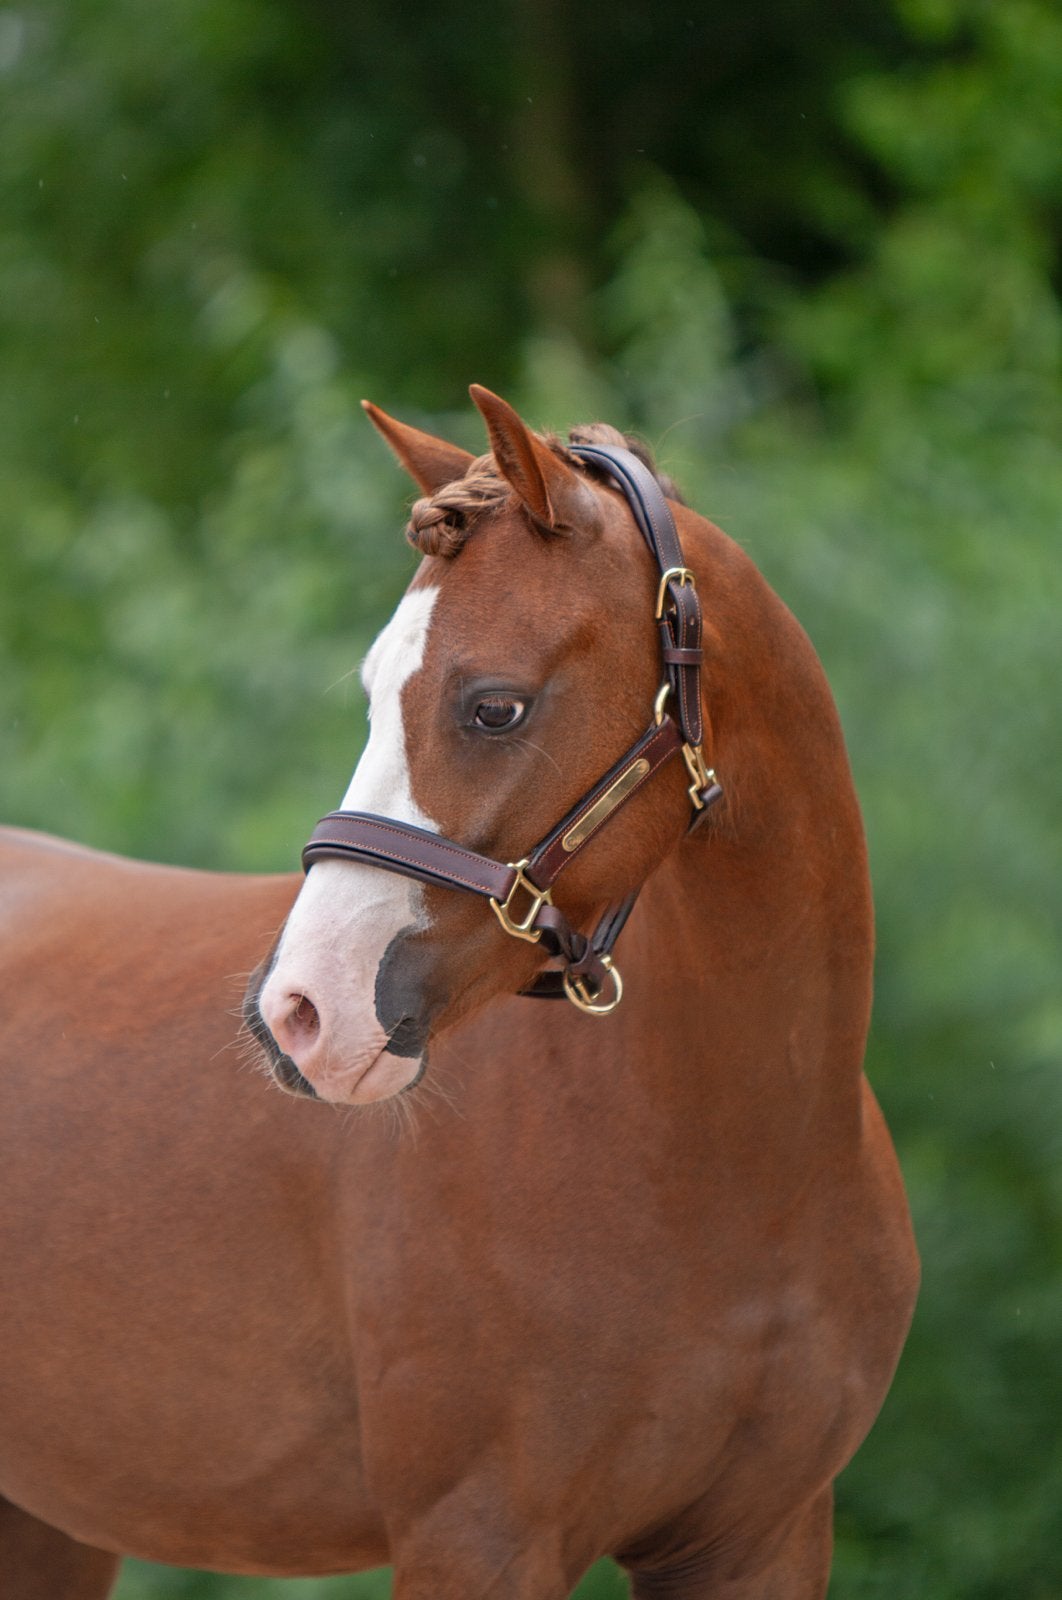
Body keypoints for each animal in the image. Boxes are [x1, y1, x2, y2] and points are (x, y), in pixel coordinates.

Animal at [0, 386, 918, 1600]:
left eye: (494, 708)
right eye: (373, 694)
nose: (300, 1014)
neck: (742, 1165)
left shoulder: (760, 1536)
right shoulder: (478, 1537)